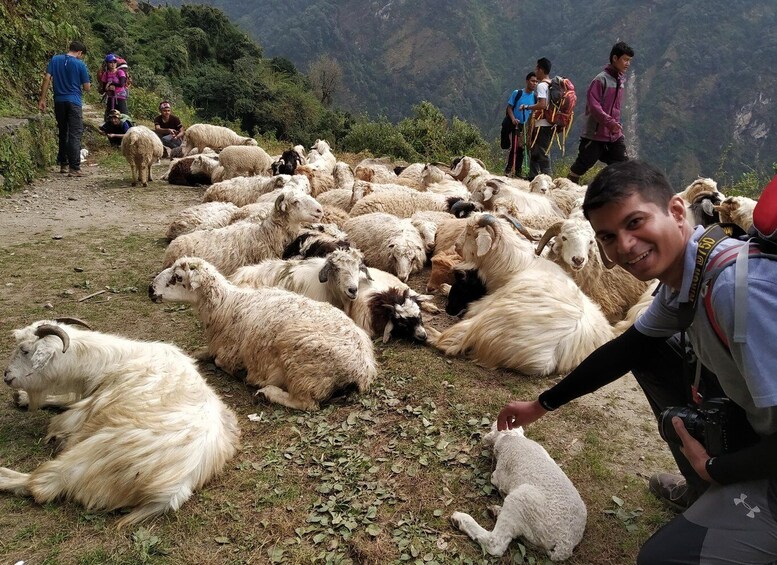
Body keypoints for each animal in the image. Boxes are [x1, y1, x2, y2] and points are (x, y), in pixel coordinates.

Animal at [0, 320, 239, 528]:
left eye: (25, 350)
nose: (6, 376)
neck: (114, 361)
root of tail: (174, 490)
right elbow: (68, 398)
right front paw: (22, 397)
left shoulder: (85, 411)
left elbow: (64, 417)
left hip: (91, 454)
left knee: (40, 485)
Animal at [150, 256, 378, 410]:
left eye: (177, 277)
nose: (150, 290)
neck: (225, 305)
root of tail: (363, 370)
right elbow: (200, 352)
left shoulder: (231, 352)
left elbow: (220, 361)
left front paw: (240, 373)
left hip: (303, 369)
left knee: (306, 403)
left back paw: (267, 392)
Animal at [424, 214, 612, 376]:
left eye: (470, 233)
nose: (456, 246)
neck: (513, 265)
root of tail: (551, 355)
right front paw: (444, 287)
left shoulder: (482, 303)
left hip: (488, 323)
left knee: (450, 343)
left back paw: (429, 332)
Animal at [448, 426, 588, 556]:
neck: (511, 436)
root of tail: (565, 544)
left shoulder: (500, 475)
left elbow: (495, 479)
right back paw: (496, 511)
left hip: (522, 500)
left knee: (496, 544)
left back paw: (461, 519)